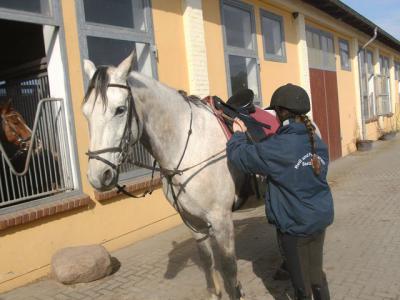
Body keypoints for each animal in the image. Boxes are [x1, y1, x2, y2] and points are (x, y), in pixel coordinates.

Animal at [83, 52, 248, 300]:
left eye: (119, 109)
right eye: (86, 113)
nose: (98, 175)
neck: (189, 145)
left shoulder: (222, 221)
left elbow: (229, 271)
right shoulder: (193, 222)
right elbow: (208, 263)